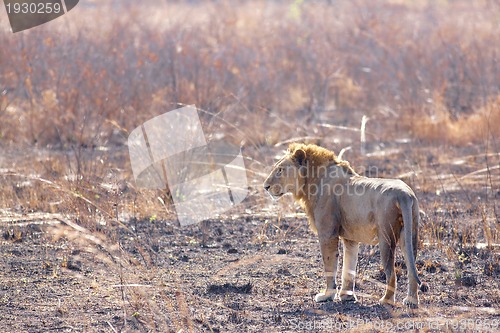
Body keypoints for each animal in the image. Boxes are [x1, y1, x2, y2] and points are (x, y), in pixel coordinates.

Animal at [264, 142, 420, 306]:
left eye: (280, 170)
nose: (265, 187)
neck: (311, 181)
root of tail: (404, 194)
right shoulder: (350, 238)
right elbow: (349, 267)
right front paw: (347, 296)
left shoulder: (327, 233)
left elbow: (330, 265)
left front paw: (327, 295)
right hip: (410, 235)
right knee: (412, 268)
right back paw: (411, 301)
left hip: (386, 237)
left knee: (392, 273)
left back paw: (386, 300)